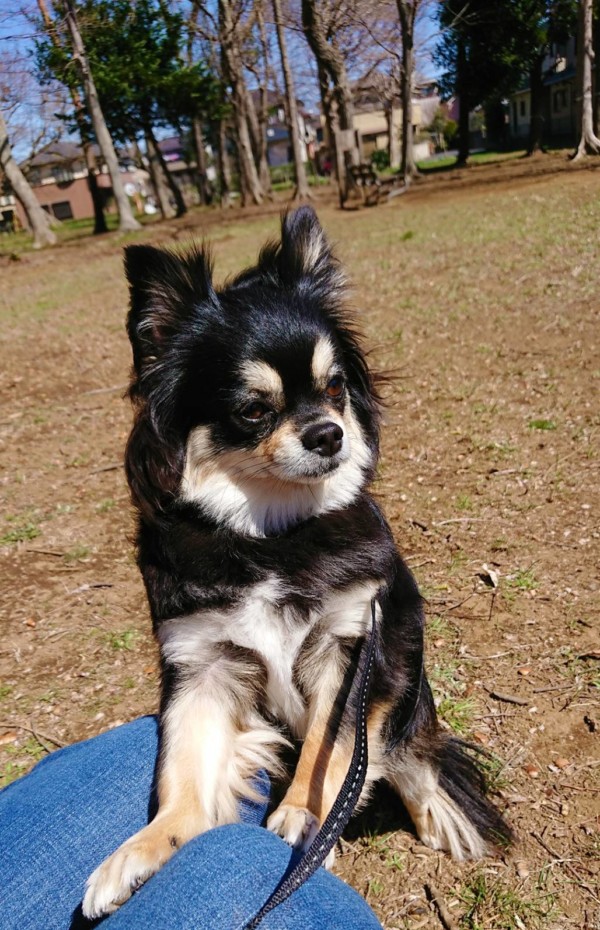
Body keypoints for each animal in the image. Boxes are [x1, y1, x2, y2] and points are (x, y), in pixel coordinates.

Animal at [83, 207, 511, 918]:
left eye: (335, 387)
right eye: (253, 410)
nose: (329, 433)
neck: (271, 536)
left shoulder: (357, 643)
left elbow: (330, 747)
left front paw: (301, 816)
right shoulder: (201, 665)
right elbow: (181, 775)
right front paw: (148, 850)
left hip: (406, 663)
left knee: (415, 749)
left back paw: (438, 815)